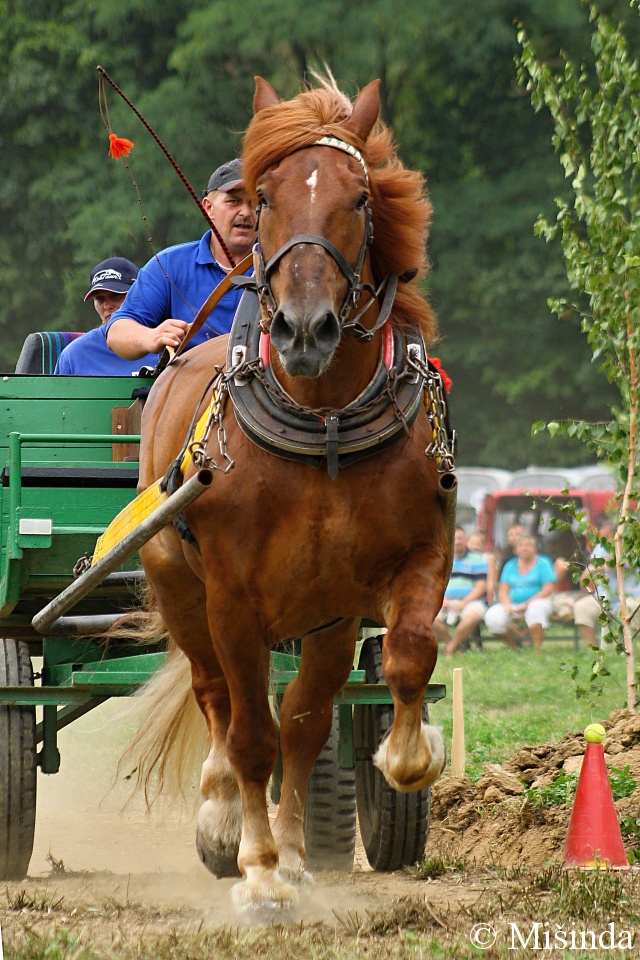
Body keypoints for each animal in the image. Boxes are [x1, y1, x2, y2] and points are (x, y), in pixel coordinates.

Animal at [129, 73, 450, 908]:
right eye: (266, 196)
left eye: (361, 198)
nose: (307, 331)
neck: (324, 417)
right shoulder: (233, 599)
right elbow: (249, 734)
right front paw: (257, 869)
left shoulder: (415, 558)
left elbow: (405, 657)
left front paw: (408, 757)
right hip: (180, 588)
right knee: (215, 698)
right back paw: (223, 822)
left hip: (326, 618)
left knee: (305, 721)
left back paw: (299, 848)